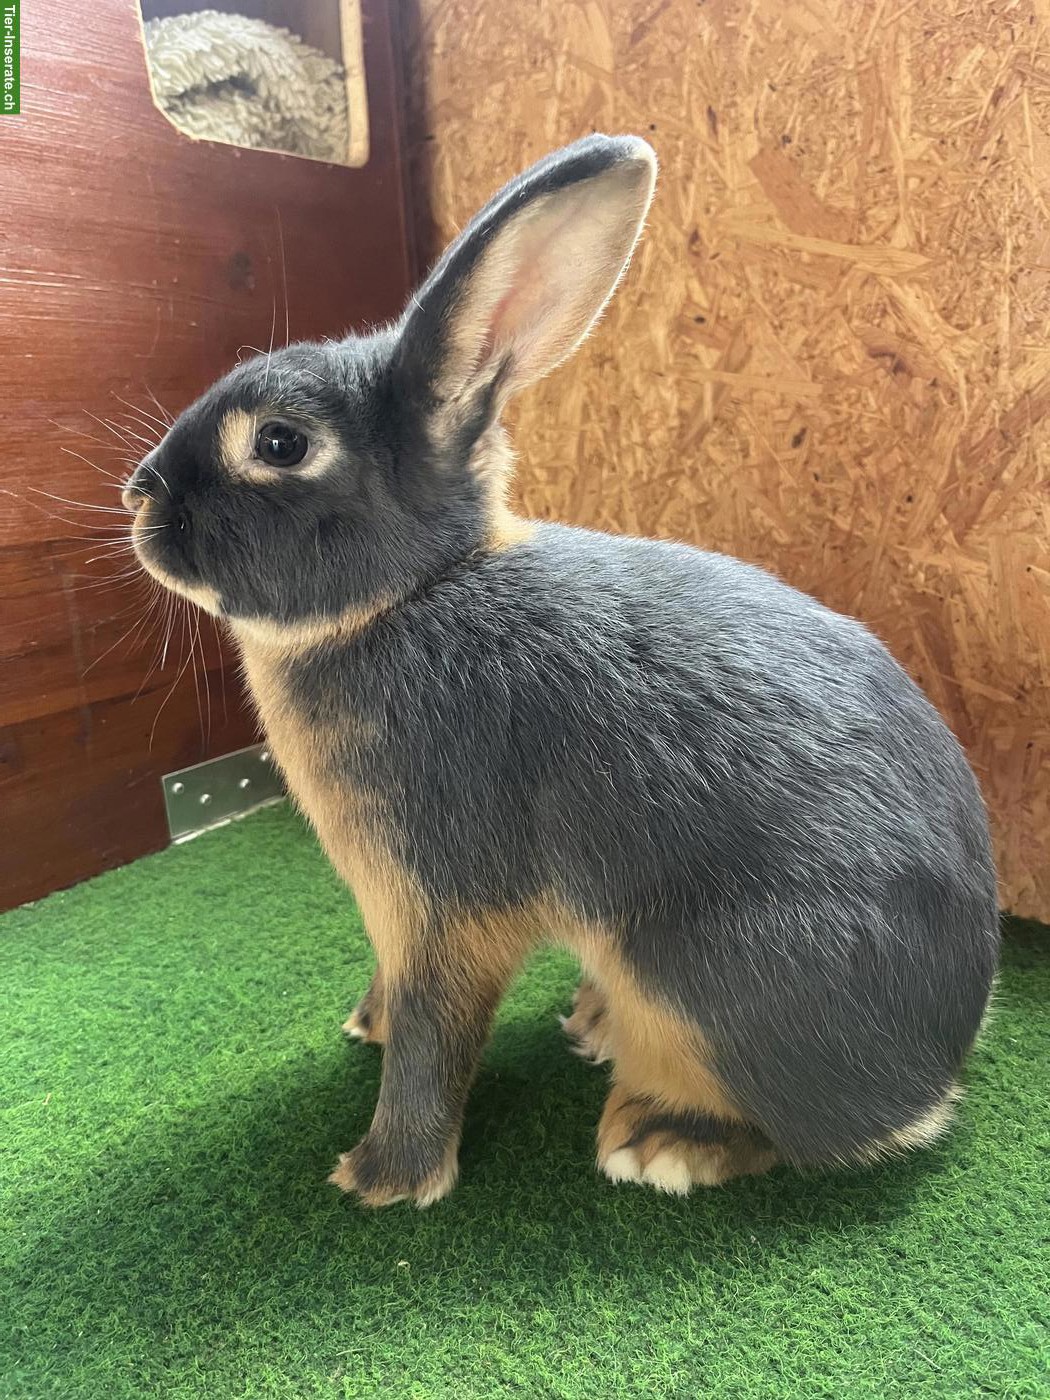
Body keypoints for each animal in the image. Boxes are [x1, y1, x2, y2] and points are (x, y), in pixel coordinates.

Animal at [123, 135, 999, 1205]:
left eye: (280, 443)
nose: (139, 497)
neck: (414, 595)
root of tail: (940, 1071)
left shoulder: (442, 904)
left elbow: (436, 1033)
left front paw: (383, 1177)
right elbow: (399, 998)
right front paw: (365, 1024)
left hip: (703, 972)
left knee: (796, 1131)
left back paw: (661, 1139)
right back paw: (595, 1025)